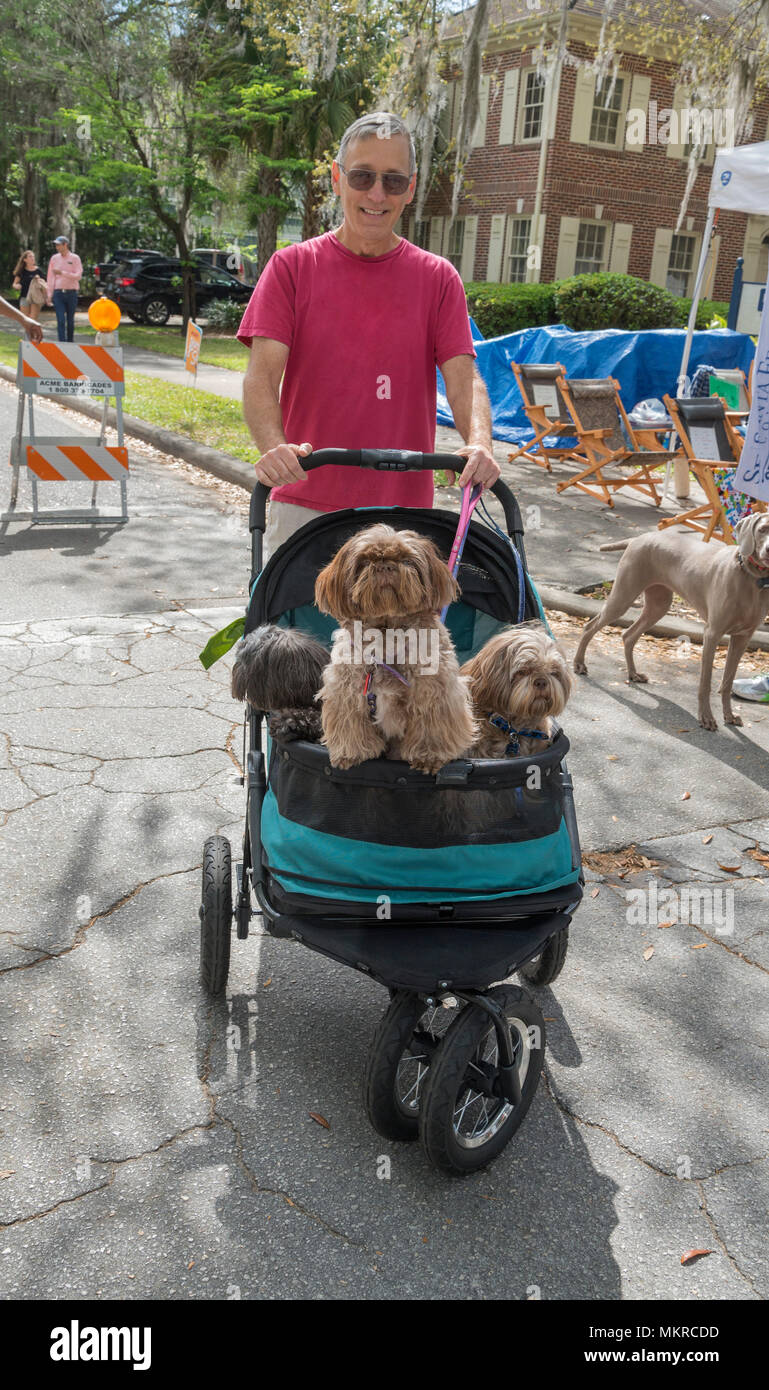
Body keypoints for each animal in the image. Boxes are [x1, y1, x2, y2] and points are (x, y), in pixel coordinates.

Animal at [311, 522, 472, 778]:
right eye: (365, 561)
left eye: (406, 560)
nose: (385, 566)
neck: (387, 633)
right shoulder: (346, 693)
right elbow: (351, 725)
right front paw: (350, 753)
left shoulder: (434, 693)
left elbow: (430, 729)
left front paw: (429, 757)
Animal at [572, 517, 767, 733]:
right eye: (762, 529)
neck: (751, 577)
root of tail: (637, 538)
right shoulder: (712, 633)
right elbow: (705, 683)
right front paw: (706, 718)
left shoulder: (742, 638)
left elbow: (727, 681)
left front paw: (729, 716)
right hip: (623, 596)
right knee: (590, 627)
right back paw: (579, 664)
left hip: (659, 604)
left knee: (628, 635)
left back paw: (633, 674)